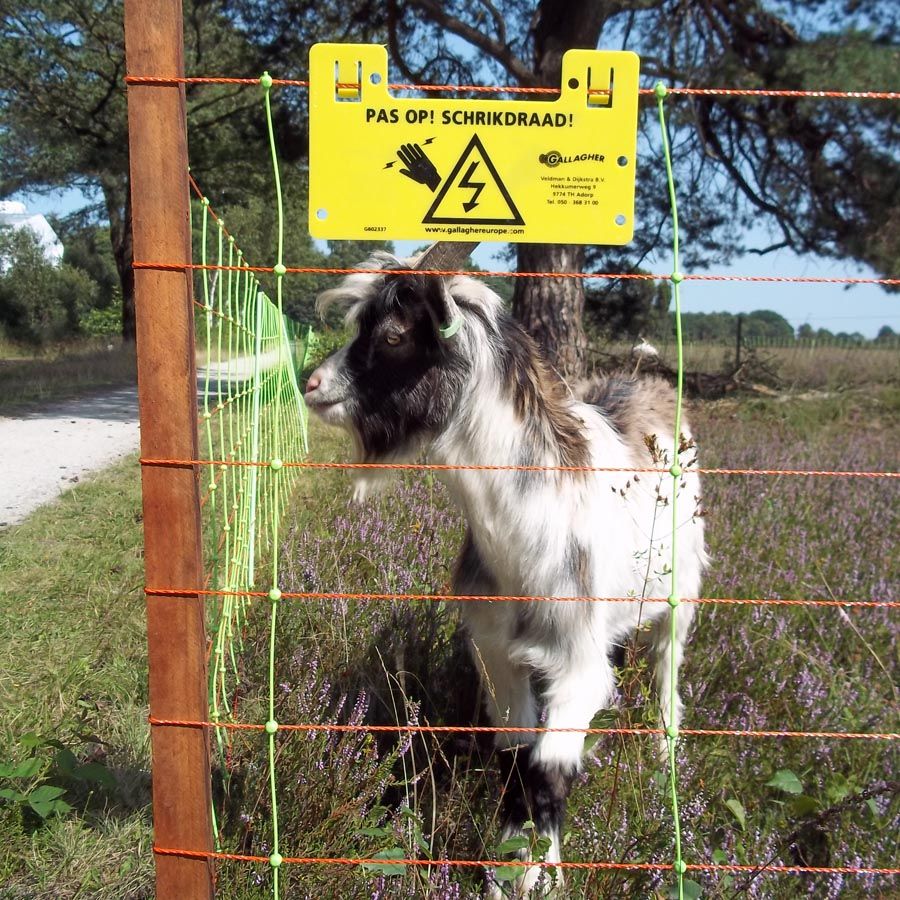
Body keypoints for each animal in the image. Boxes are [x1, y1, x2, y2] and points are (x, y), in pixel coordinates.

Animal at [304, 245, 708, 897]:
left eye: (393, 334)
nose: (313, 385)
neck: (525, 535)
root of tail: (646, 379)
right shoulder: (496, 651)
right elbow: (514, 756)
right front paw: (504, 868)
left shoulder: (576, 662)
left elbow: (548, 768)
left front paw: (543, 875)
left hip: (681, 601)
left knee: (668, 686)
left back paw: (662, 773)